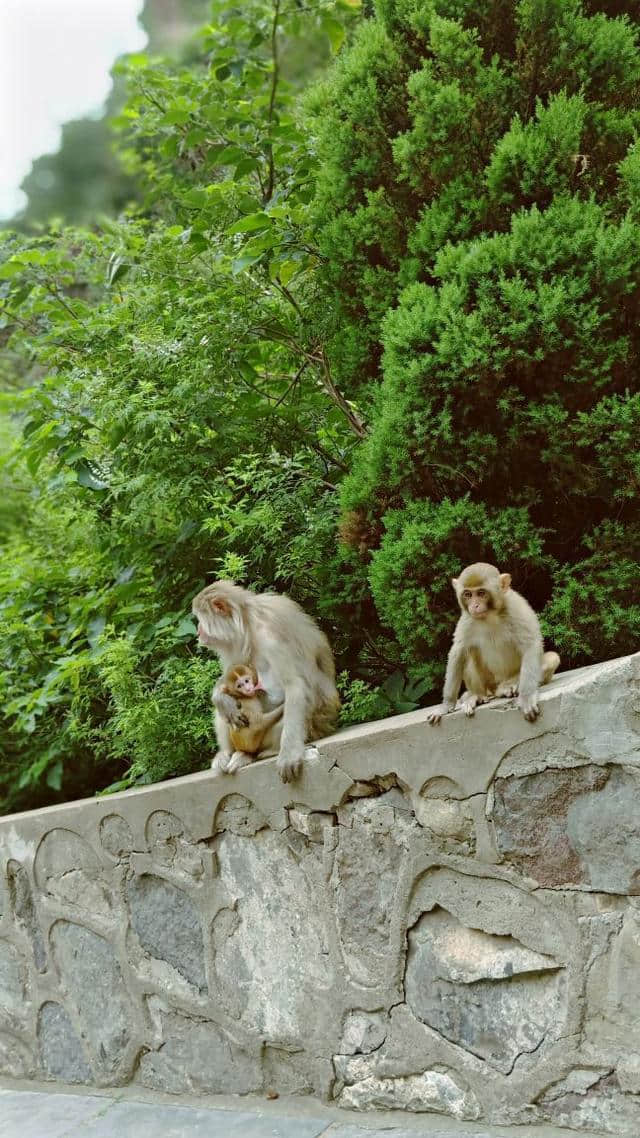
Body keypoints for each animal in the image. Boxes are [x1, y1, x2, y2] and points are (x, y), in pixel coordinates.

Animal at [190, 582, 337, 778]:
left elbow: (295, 685)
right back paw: (233, 753)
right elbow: (229, 677)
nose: (198, 631)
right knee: (227, 710)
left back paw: (267, 752)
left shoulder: (270, 638)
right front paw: (220, 698)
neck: (247, 622)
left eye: (200, 619)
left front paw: (289, 754)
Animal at [423, 562, 558, 728]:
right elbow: (458, 652)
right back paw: (477, 696)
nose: (474, 605)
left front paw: (526, 698)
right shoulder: (467, 618)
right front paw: (446, 705)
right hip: (488, 683)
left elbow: (530, 645)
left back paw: (508, 687)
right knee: (469, 654)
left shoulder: (516, 607)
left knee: (552, 657)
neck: (490, 615)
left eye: (481, 593)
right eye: (468, 594)